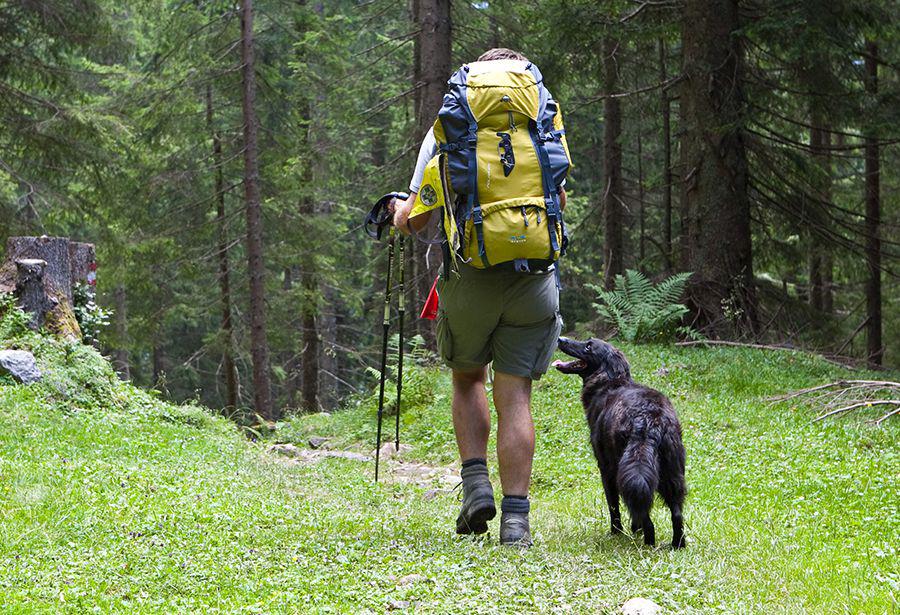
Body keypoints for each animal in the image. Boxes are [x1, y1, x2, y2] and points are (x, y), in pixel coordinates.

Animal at [552, 336, 684, 548]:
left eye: (588, 346)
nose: (560, 338)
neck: (610, 381)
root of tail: (649, 419)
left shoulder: (606, 469)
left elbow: (612, 505)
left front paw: (616, 532)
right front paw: (633, 530)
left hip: (627, 470)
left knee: (645, 516)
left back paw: (648, 543)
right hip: (672, 474)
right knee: (676, 513)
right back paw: (677, 545)